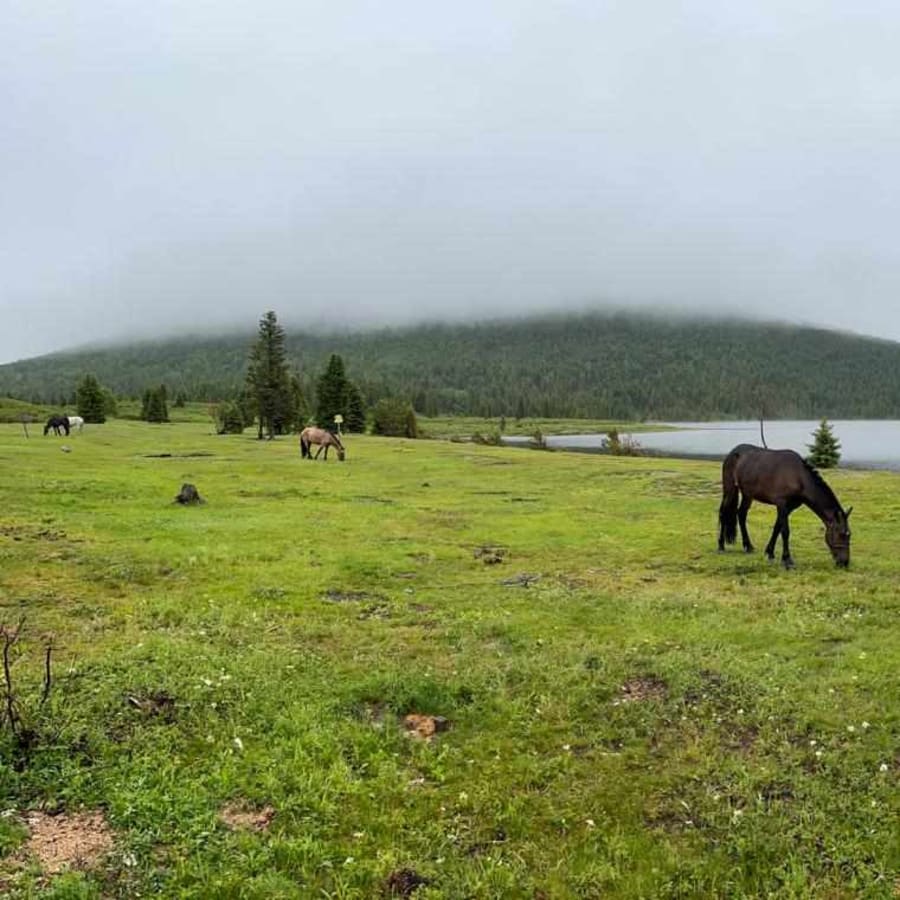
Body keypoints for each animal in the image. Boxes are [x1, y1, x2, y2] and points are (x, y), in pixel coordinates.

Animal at [718, 443, 851, 568]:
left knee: (741, 514)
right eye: (842, 534)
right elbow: (785, 531)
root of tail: (733, 452)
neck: (798, 477)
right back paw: (721, 546)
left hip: (748, 494)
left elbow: (777, 528)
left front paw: (770, 552)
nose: (844, 562)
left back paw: (748, 546)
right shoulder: (782, 504)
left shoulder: (789, 508)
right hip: (730, 489)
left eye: (849, 534)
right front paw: (787, 559)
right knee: (724, 513)